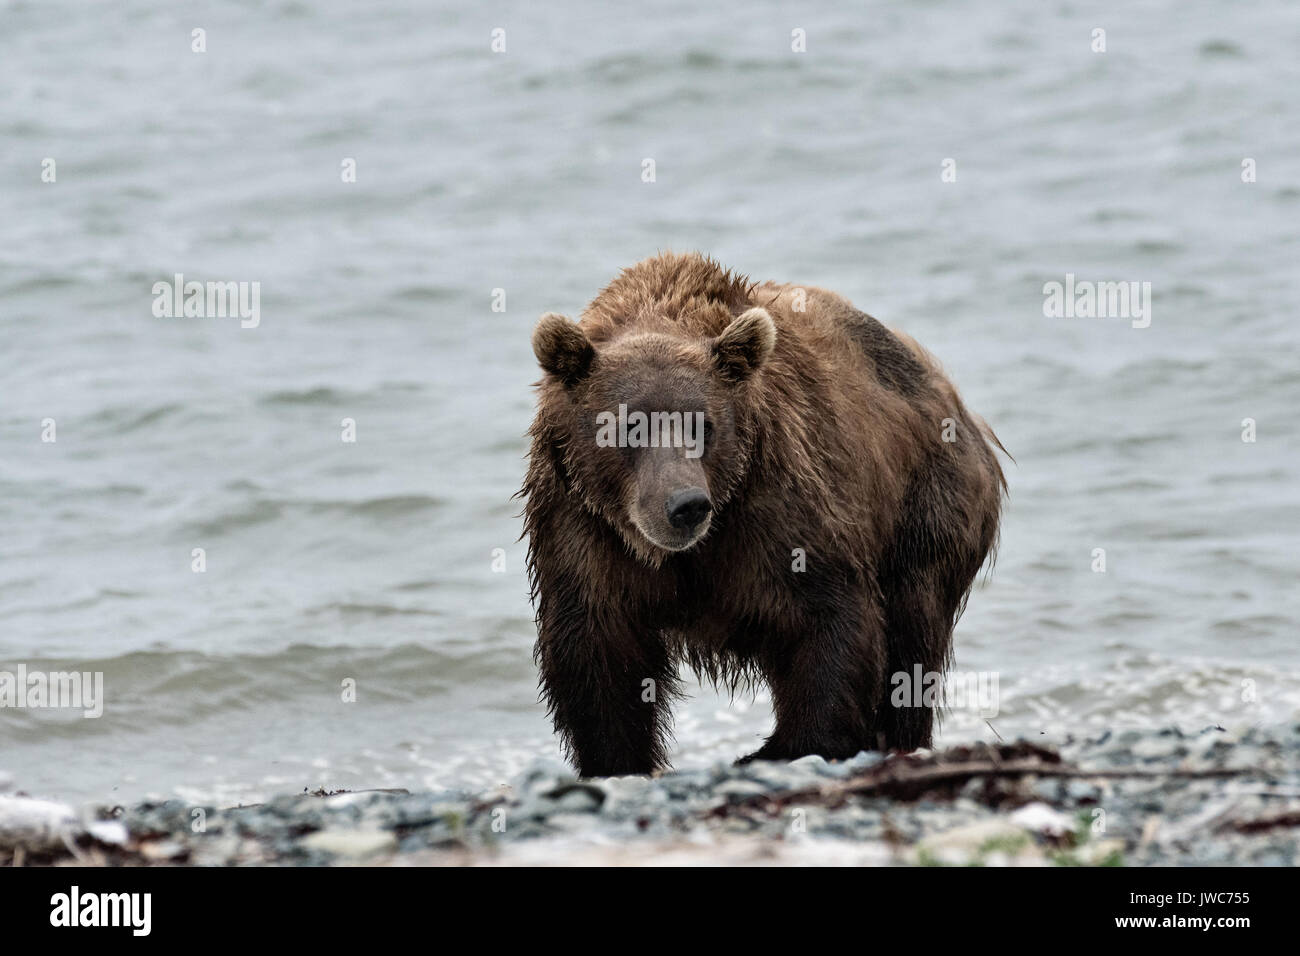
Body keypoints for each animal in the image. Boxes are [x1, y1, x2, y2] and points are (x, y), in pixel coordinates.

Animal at [522, 252, 1006, 777]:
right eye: (630, 426)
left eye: (703, 425)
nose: (686, 505)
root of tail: (954, 398)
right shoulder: (582, 524)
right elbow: (598, 650)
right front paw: (617, 761)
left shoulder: (777, 506)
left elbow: (830, 617)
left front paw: (791, 746)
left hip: (928, 503)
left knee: (911, 631)